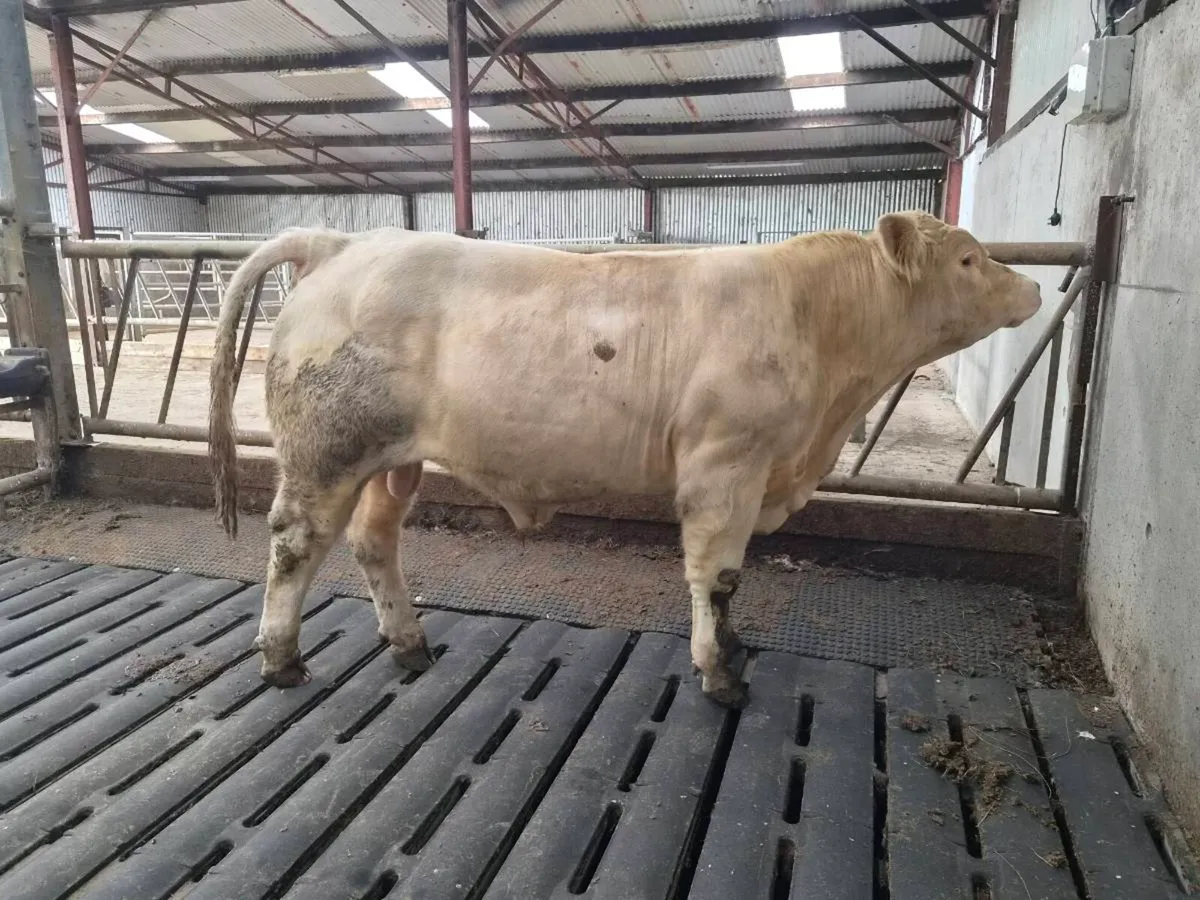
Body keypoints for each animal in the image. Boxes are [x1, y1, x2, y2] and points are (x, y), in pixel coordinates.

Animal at [208, 211, 1041, 709]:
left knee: (373, 540)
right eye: (969, 259)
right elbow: (718, 574)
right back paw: (280, 659)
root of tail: (343, 242)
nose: (1033, 285)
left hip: (393, 460)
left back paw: (410, 644)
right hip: (326, 453)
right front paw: (719, 673)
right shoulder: (723, 464)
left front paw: (732, 649)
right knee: (295, 546)